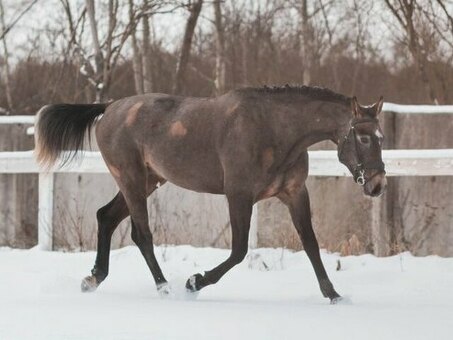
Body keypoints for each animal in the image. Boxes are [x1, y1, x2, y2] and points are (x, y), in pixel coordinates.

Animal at [35, 85, 384, 302]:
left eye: (381, 136)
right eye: (364, 138)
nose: (377, 183)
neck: (274, 130)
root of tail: (110, 108)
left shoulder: (295, 193)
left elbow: (311, 244)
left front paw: (334, 295)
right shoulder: (239, 195)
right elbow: (239, 251)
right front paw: (194, 282)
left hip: (149, 180)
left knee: (106, 217)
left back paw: (93, 278)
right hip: (131, 179)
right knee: (141, 233)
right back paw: (164, 288)